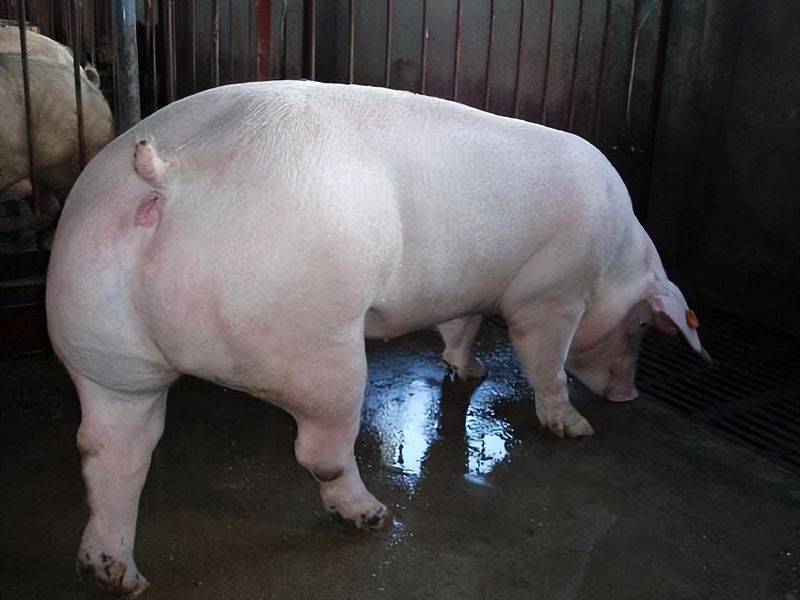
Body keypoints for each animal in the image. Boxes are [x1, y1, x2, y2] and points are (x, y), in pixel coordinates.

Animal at [46, 80, 709, 597]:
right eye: (642, 327)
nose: (628, 395)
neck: (611, 261)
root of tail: (166, 172)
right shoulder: (550, 293)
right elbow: (544, 361)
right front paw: (576, 428)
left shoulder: (465, 292)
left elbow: (460, 330)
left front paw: (471, 373)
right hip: (315, 346)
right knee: (319, 451)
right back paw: (373, 517)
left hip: (95, 343)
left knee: (107, 451)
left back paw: (115, 575)